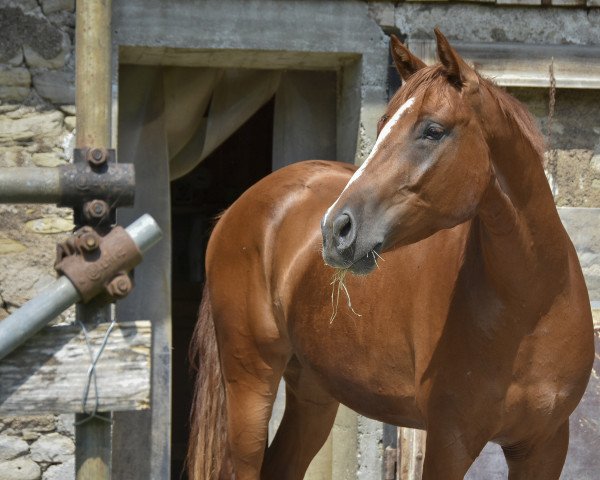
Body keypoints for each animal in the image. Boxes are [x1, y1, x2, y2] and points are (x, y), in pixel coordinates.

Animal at [188, 31, 596, 480]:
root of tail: (237, 209)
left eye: (433, 130)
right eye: (382, 126)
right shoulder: (450, 441)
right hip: (250, 384)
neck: (531, 308)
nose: (335, 229)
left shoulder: (543, 446)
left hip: (313, 391)